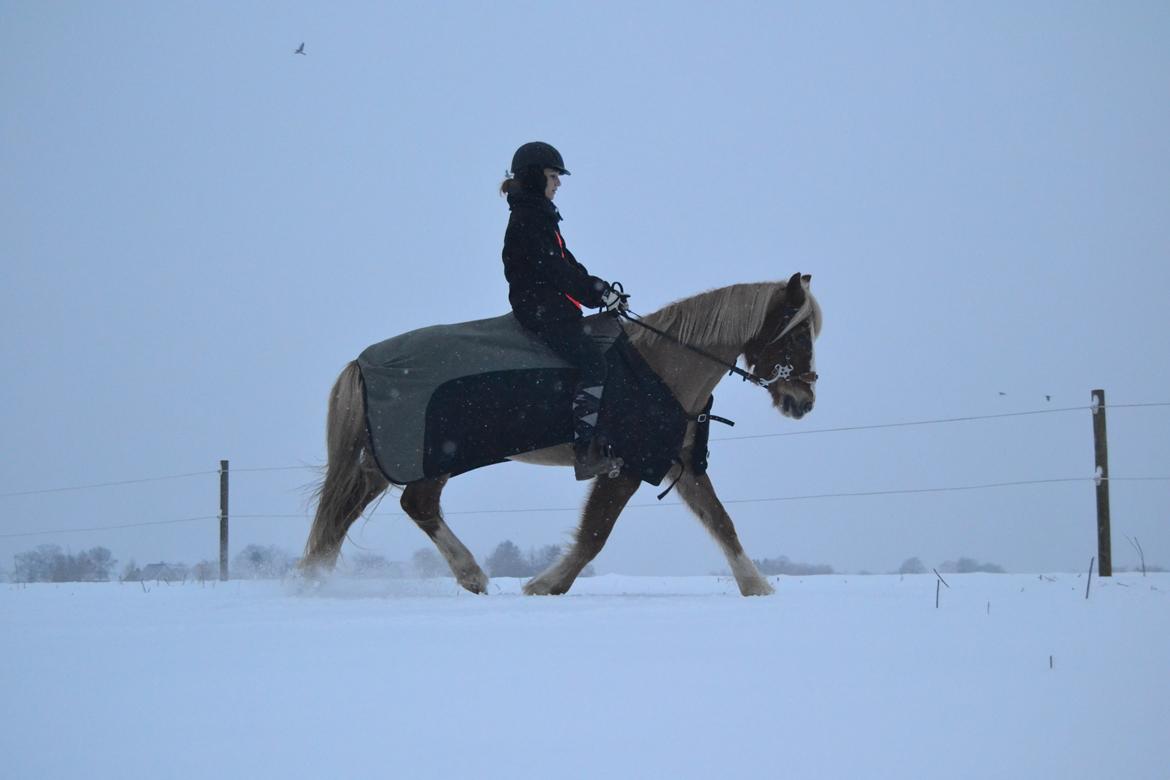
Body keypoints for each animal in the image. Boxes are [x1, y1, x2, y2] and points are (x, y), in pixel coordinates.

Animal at [301, 271, 823, 594]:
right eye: (799, 334)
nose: (803, 402)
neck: (663, 365)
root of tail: (363, 363)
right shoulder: (625, 464)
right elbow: (595, 533)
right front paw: (545, 585)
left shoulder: (675, 461)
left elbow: (721, 522)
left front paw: (757, 587)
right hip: (425, 455)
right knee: (410, 504)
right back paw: (469, 575)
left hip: (395, 457)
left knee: (357, 504)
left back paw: (317, 575)